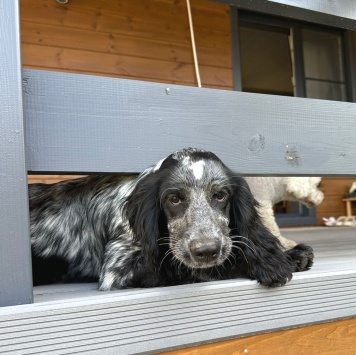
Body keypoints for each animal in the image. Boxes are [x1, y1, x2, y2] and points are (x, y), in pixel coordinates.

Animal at [30, 147, 314, 290]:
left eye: (220, 195)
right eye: (174, 199)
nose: (206, 250)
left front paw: (289, 254)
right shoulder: (119, 270)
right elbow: (207, 267)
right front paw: (273, 264)